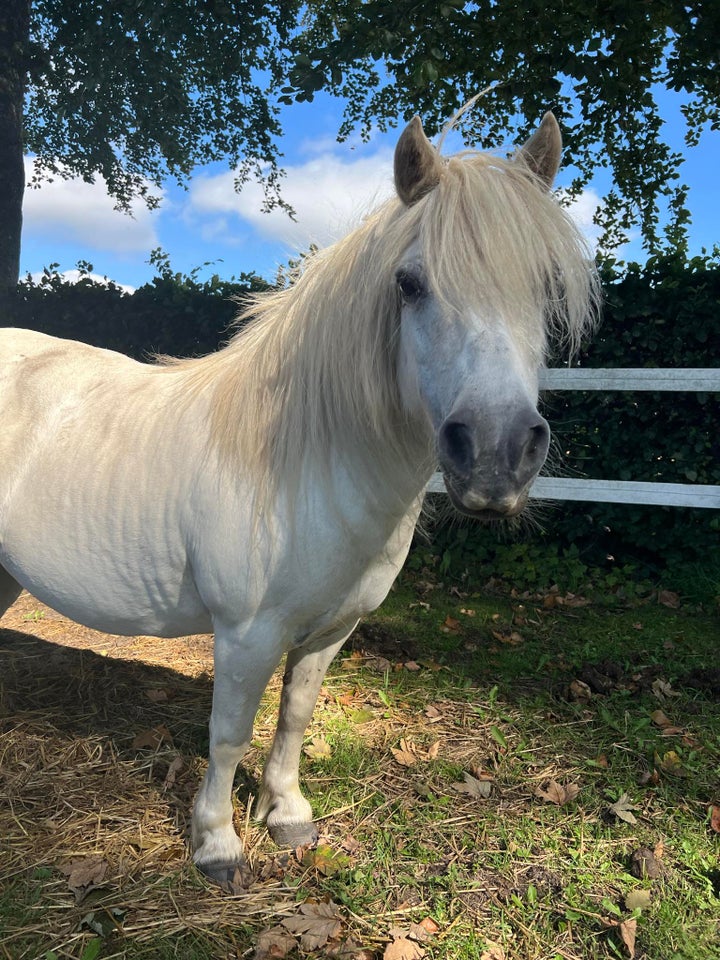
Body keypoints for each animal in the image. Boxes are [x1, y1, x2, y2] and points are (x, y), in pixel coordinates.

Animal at [0, 109, 596, 880]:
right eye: (409, 283)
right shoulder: (246, 634)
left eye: (547, 287)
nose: (496, 455)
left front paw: (284, 814)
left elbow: (294, 717)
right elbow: (228, 734)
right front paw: (217, 843)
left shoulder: (331, 630)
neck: (306, 465)